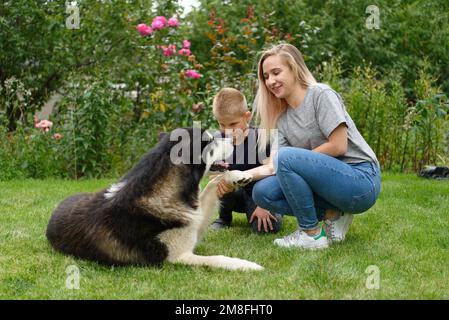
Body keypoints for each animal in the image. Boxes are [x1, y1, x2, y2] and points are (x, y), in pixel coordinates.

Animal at [44, 127, 262, 270]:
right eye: (209, 142)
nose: (233, 138)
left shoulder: (193, 223)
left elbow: (212, 184)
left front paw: (236, 176)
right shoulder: (177, 256)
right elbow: (217, 258)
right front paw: (246, 265)